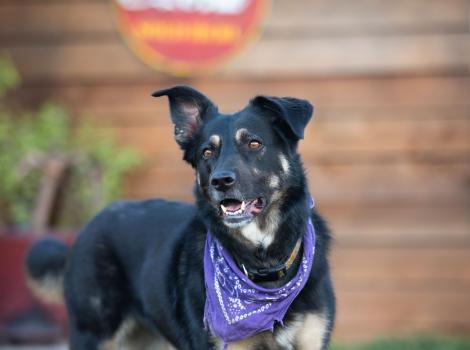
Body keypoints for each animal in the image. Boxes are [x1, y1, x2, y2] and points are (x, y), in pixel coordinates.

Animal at [25, 85, 336, 350]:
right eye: (207, 152)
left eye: (254, 144)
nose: (220, 181)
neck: (263, 266)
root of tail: (92, 223)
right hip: (92, 332)